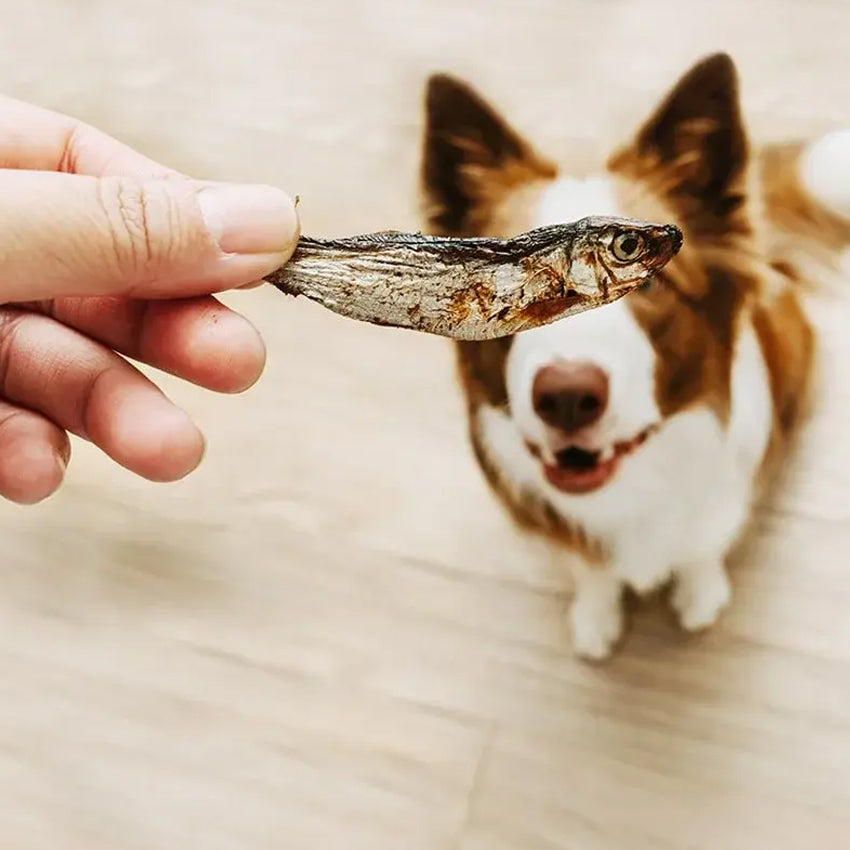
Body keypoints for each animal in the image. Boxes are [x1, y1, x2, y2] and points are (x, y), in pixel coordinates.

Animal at [418, 53, 848, 660]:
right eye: (509, 282)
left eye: (649, 281)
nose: (567, 398)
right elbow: (593, 571)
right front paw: (597, 617)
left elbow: (702, 550)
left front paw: (701, 596)